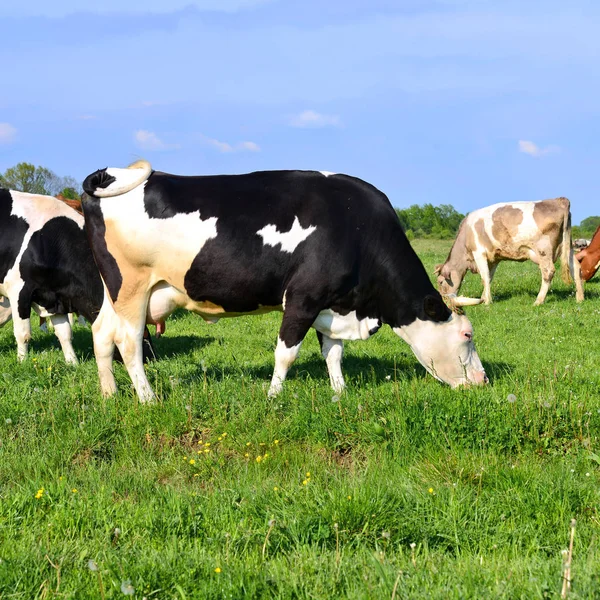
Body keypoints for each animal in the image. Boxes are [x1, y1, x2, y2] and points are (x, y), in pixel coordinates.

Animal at [82, 159, 490, 404]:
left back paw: (108, 394)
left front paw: (340, 393)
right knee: (129, 342)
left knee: (102, 333)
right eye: (467, 335)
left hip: (114, 292)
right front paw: (273, 396)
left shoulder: (334, 302)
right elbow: (287, 352)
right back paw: (148, 398)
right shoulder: (303, 297)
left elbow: (333, 352)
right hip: (132, 287)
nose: (483, 381)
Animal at [436, 199, 584, 308]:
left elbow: (484, 277)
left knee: (548, 271)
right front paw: (484, 297)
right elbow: (489, 277)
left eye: (440, 282)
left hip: (544, 249)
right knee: (575, 267)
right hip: (567, 246)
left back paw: (538, 301)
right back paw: (580, 298)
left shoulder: (479, 253)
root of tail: (558, 200)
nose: (445, 301)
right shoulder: (494, 258)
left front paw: (487, 302)